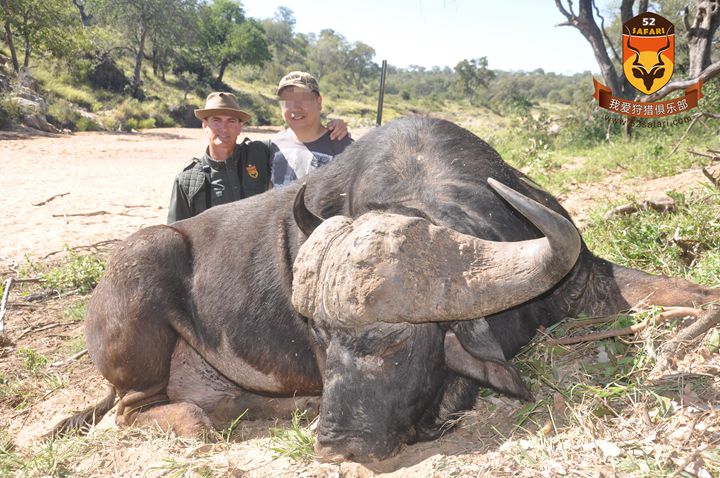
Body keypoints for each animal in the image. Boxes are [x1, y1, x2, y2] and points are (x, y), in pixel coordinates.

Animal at [52, 114, 720, 462]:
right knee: (157, 413)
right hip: (144, 274)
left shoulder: (582, 275)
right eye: (320, 340)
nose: (337, 447)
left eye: (392, 344)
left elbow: (684, 290)